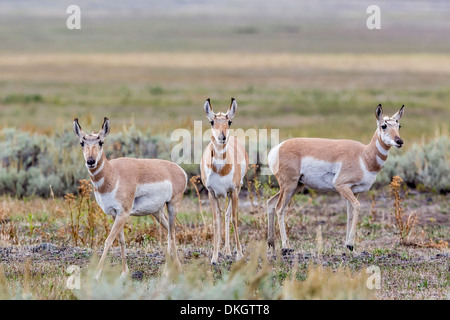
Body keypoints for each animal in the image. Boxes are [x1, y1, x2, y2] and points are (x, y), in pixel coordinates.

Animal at [72, 117, 188, 278]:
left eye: (101, 142)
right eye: (82, 143)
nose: (90, 161)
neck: (113, 174)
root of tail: (180, 170)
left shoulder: (124, 214)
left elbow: (108, 240)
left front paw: (96, 274)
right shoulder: (115, 214)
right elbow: (121, 240)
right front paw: (124, 272)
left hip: (172, 207)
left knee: (171, 234)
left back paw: (166, 272)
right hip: (157, 212)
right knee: (172, 232)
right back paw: (177, 267)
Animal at [201, 98, 250, 264]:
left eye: (229, 121)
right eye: (211, 122)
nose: (222, 137)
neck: (220, 169)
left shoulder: (233, 191)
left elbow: (234, 218)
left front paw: (240, 254)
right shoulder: (211, 193)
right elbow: (216, 221)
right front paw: (214, 257)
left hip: (235, 192)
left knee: (228, 215)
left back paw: (229, 251)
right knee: (223, 215)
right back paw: (226, 251)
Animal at [268, 105, 404, 252]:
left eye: (399, 125)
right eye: (384, 125)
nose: (399, 141)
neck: (363, 155)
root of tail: (276, 149)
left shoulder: (355, 191)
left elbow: (350, 213)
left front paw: (347, 244)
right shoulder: (341, 186)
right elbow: (357, 206)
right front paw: (350, 244)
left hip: (296, 186)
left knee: (271, 203)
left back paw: (271, 244)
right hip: (289, 186)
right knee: (279, 208)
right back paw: (285, 247)